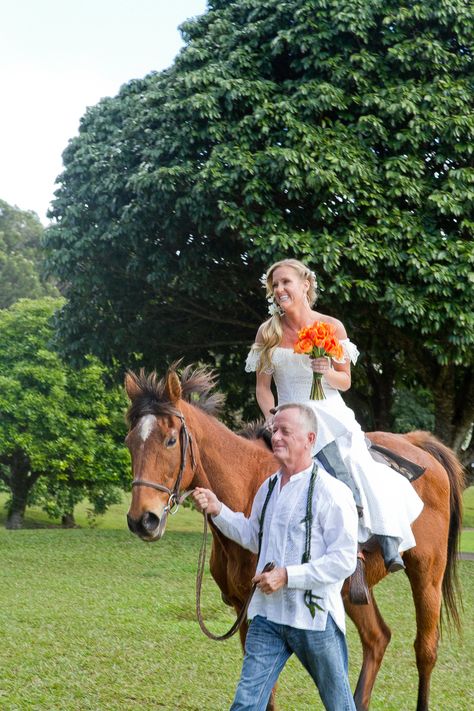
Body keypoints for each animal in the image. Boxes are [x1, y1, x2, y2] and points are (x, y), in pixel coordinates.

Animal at [125, 368, 462, 711]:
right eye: (129, 442)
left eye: (170, 440)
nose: (143, 520)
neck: (248, 486)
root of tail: (416, 445)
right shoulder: (243, 609)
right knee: (377, 638)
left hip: (427, 575)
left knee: (425, 649)